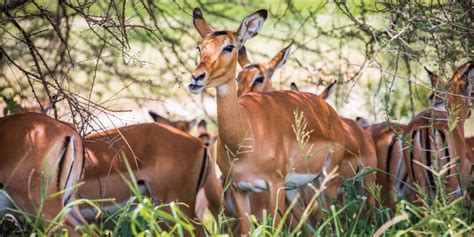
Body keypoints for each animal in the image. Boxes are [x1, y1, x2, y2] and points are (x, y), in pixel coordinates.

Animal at [188, 7, 344, 233]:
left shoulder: (275, 185)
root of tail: (326, 108)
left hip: (328, 179)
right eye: (199, 47)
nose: (196, 78)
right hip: (301, 186)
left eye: (229, 47)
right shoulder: (239, 189)